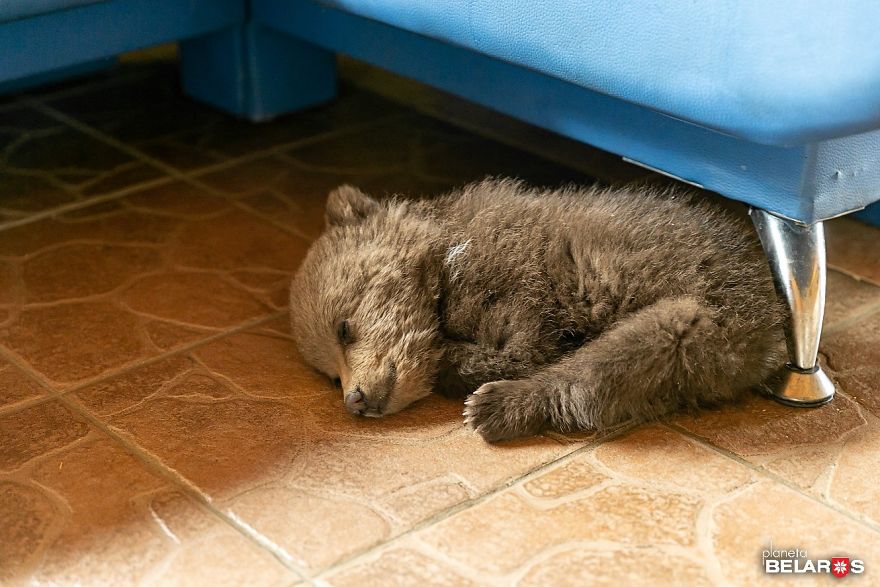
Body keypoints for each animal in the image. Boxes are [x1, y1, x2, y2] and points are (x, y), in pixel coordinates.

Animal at [289, 178, 786, 442]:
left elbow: (524, 347)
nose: (355, 400)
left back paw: (496, 406)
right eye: (329, 376)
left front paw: (451, 361)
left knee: (600, 371)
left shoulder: (521, 283)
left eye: (343, 327)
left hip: (702, 316)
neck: (444, 267)